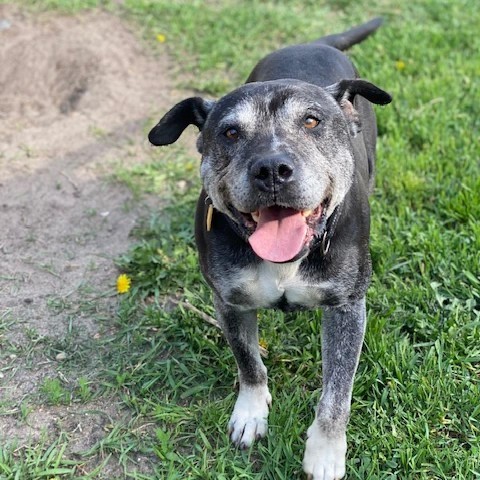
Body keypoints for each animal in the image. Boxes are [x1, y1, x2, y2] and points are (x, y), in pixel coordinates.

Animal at [148, 17, 392, 480]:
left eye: (312, 122)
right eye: (229, 132)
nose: (272, 169)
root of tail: (312, 42)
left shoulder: (348, 308)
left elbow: (337, 392)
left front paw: (325, 451)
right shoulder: (228, 301)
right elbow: (248, 360)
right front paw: (250, 413)